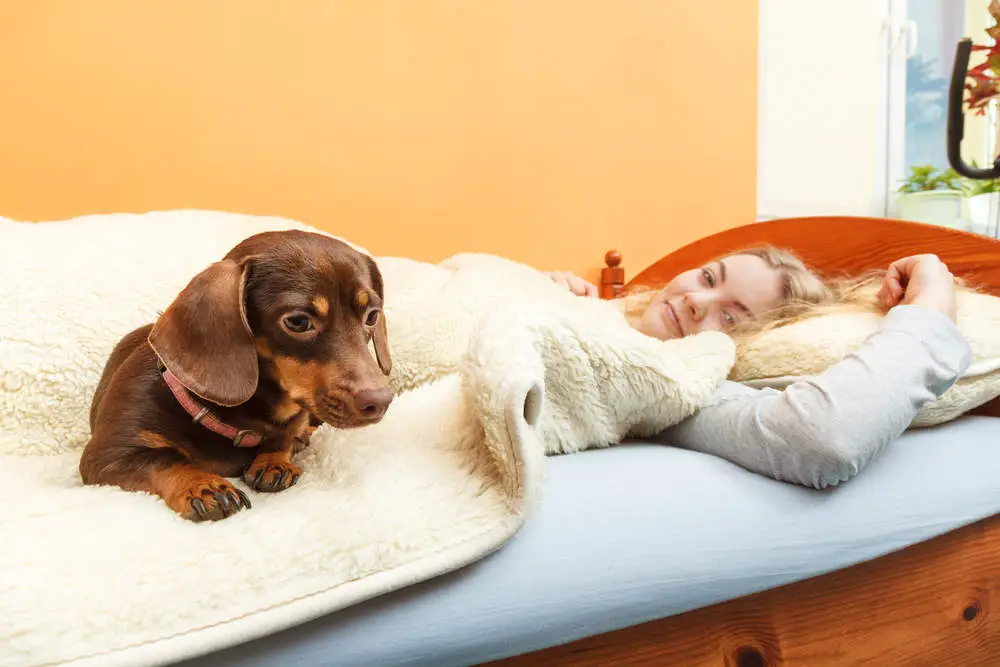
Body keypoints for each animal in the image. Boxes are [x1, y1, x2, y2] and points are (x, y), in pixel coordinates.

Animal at [80, 230, 392, 520]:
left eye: (372, 316)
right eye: (298, 322)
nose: (380, 402)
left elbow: (285, 438)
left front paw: (274, 460)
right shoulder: (108, 455)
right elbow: (164, 459)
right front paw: (203, 486)